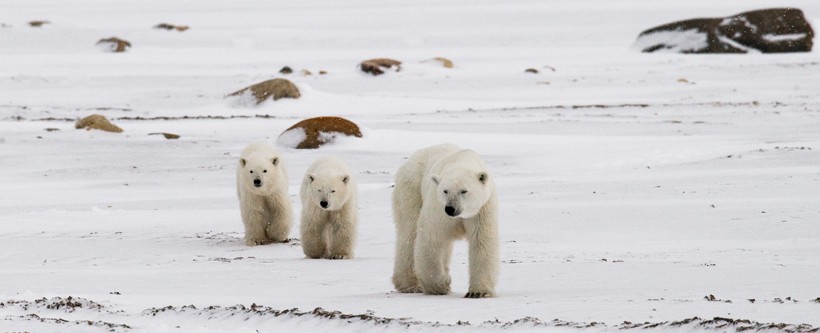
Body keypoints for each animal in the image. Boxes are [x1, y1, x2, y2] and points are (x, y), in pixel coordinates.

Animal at [392, 144, 500, 296]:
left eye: (464, 191)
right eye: (445, 191)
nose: (450, 208)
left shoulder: (481, 210)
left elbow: (481, 241)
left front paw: (478, 292)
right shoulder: (438, 208)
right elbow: (431, 237)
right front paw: (442, 284)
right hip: (411, 190)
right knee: (409, 233)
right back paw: (410, 285)